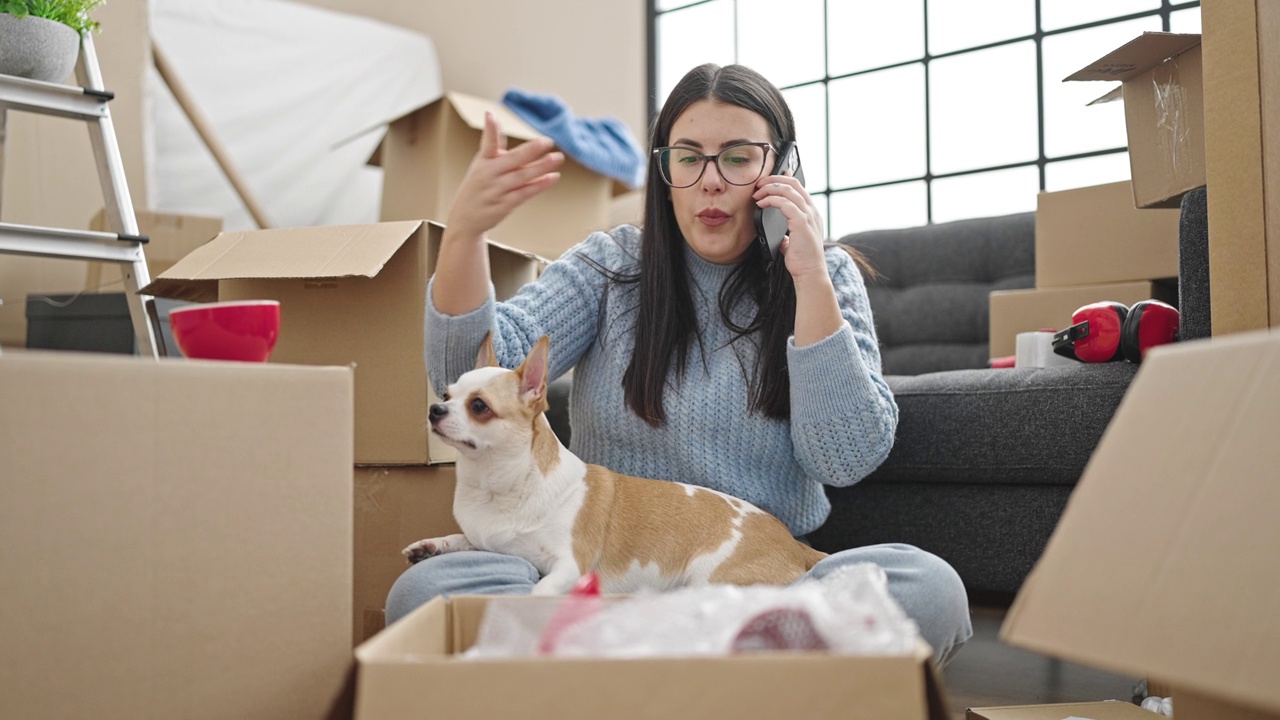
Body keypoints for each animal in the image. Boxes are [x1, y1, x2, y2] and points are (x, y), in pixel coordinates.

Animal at [399, 333, 824, 591]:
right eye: (446, 394)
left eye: (479, 407)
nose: (435, 410)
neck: (500, 486)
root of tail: (792, 544)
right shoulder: (489, 541)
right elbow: (462, 539)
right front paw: (432, 545)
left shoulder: (569, 567)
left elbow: (540, 588)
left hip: (710, 578)